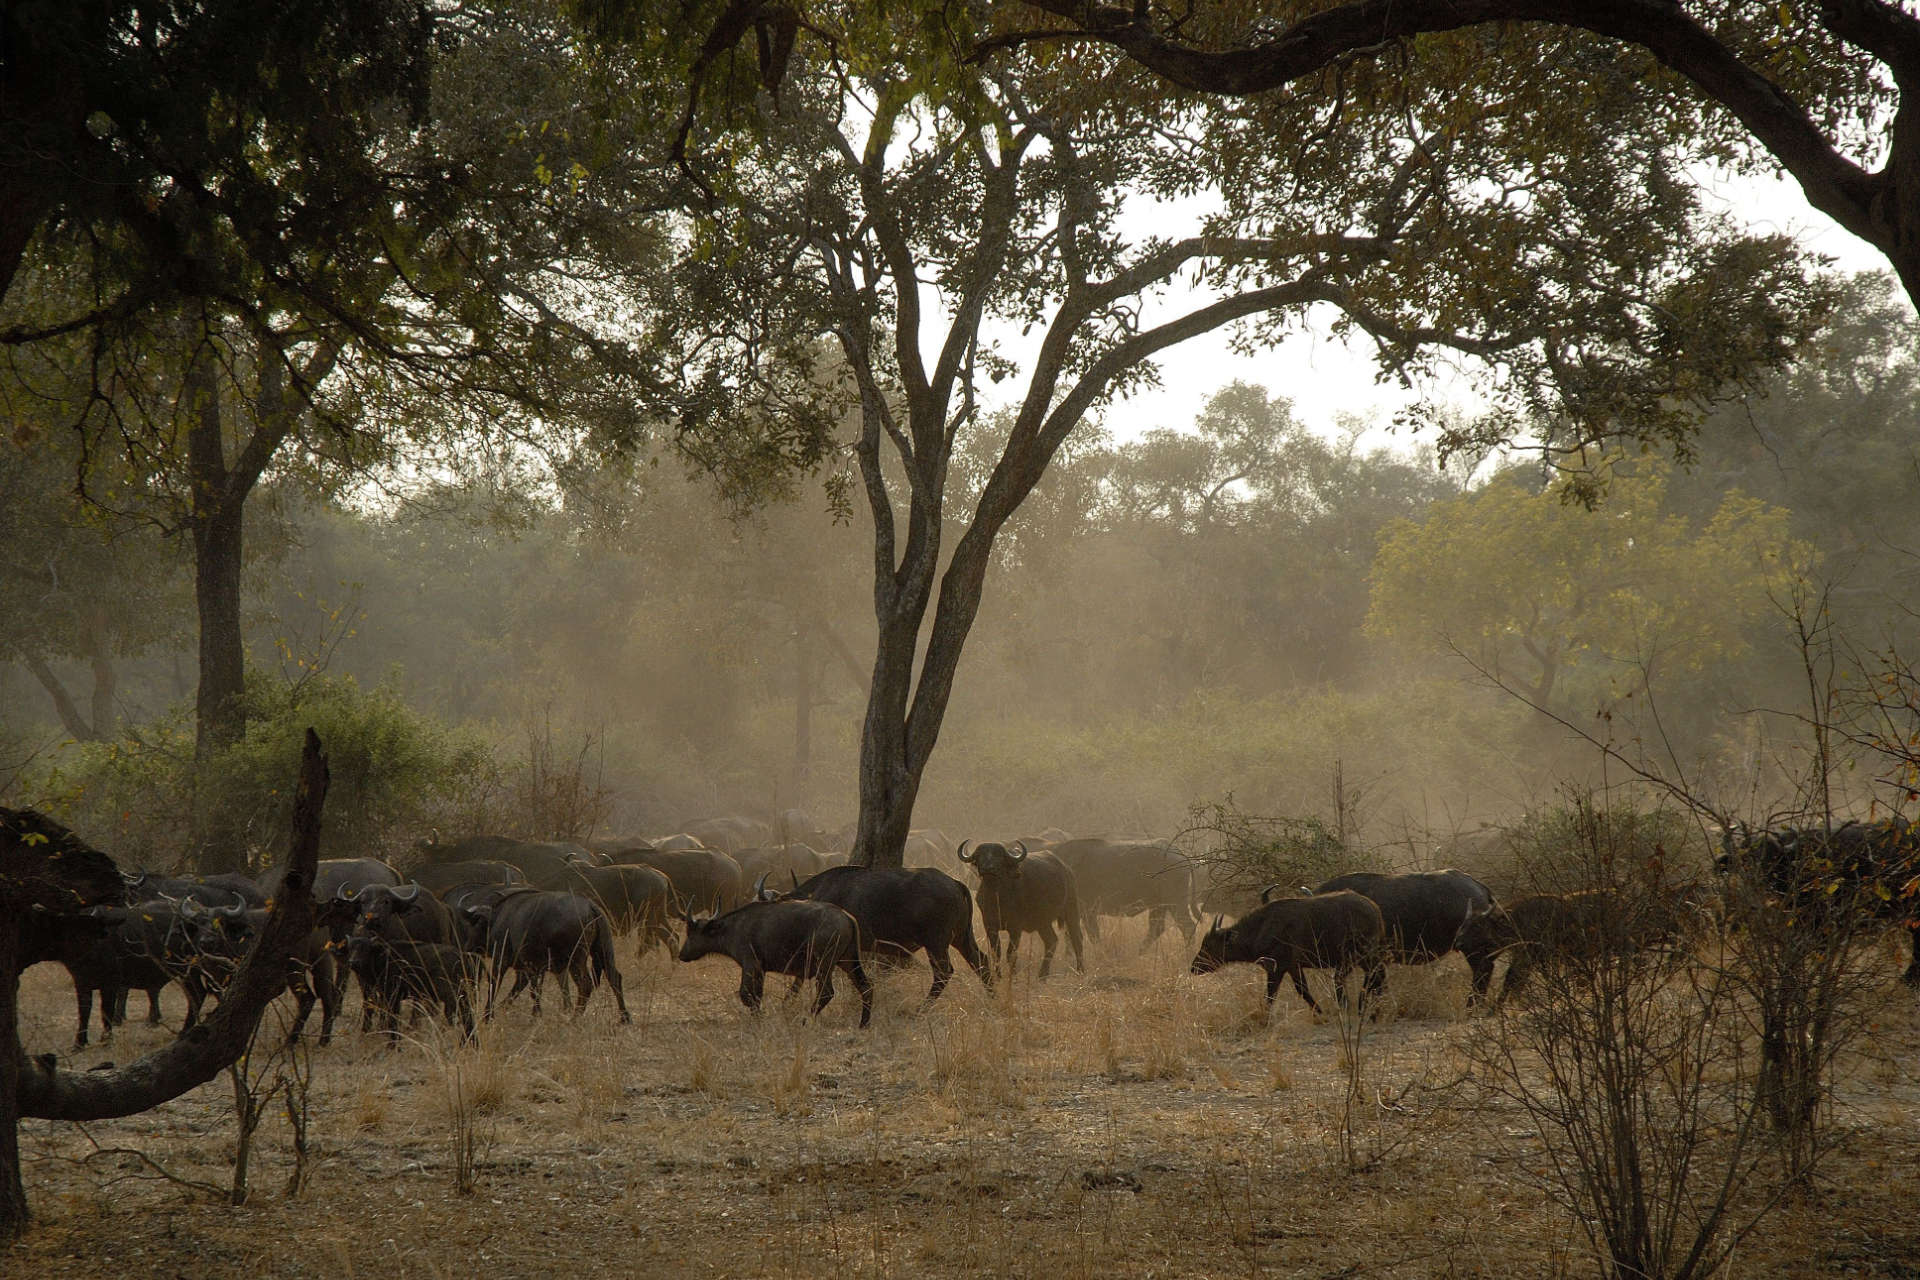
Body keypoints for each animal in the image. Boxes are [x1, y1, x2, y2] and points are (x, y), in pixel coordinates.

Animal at [957, 840, 1085, 978]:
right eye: (980, 855)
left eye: (999, 855)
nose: (988, 868)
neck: (997, 896)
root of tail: (1067, 871)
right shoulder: (990, 926)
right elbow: (996, 953)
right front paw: (998, 976)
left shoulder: (1015, 928)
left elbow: (1011, 954)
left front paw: (1012, 976)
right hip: (1042, 922)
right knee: (1051, 941)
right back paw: (1042, 976)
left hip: (1071, 911)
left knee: (1077, 939)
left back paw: (1080, 971)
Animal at [1190, 890, 1386, 1012]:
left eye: (1208, 945)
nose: (1193, 967)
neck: (1262, 928)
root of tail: (1373, 908)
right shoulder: (1293, 968)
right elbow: (1302, 990)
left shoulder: (1277, 967)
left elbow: (1272, 995)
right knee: (1377, 976)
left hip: (1356, 957)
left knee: (1366, 977)